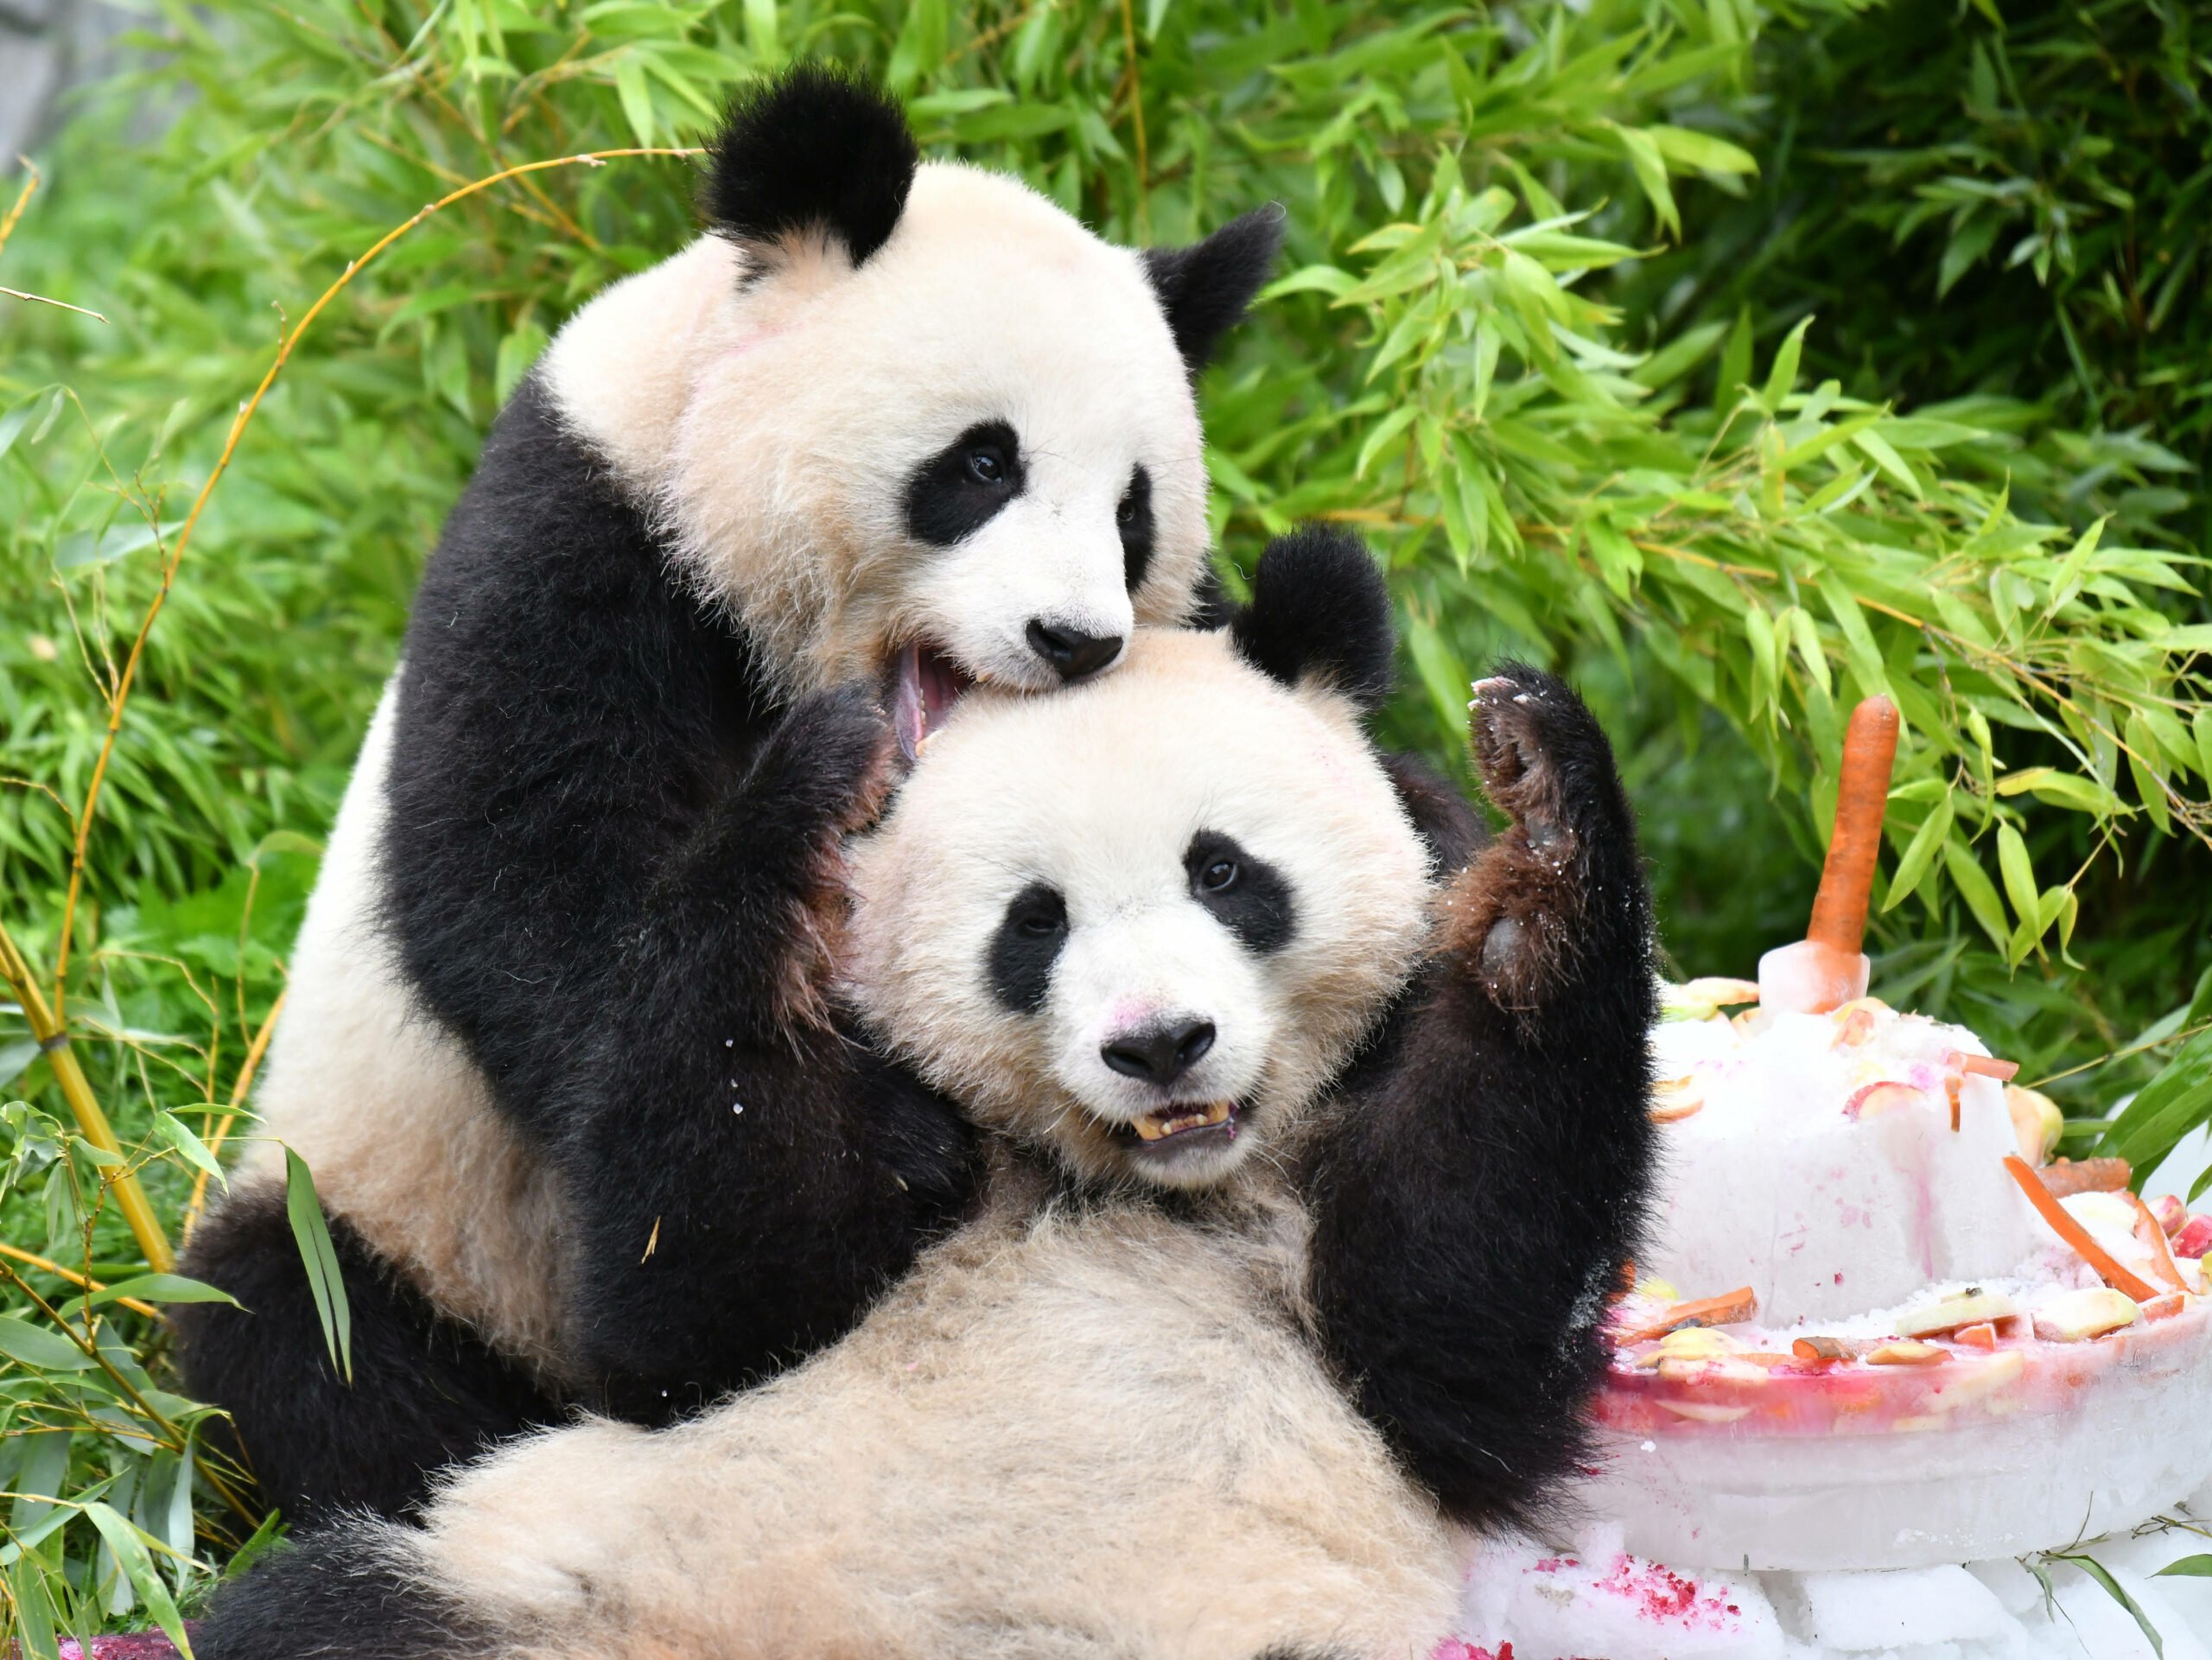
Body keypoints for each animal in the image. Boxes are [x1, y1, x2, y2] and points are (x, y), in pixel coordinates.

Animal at [181, 61, 1292, 1523]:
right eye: (982, 465)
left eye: (1133, 511)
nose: (1077, 641)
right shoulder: (578, 550)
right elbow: (537, 907)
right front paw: (865, 1151)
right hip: (391, 1204)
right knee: (302, 1333)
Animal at [207, 529, 1663, 1660]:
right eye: (1034, 922)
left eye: (1225, 872)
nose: (1161, 1044)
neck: (1133, 1183)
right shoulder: (853, 1177)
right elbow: (694, 1308)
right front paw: (807, 800)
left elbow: (1451, 1312)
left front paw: (1542, 827)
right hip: (533, 1574)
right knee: (318, 1605)